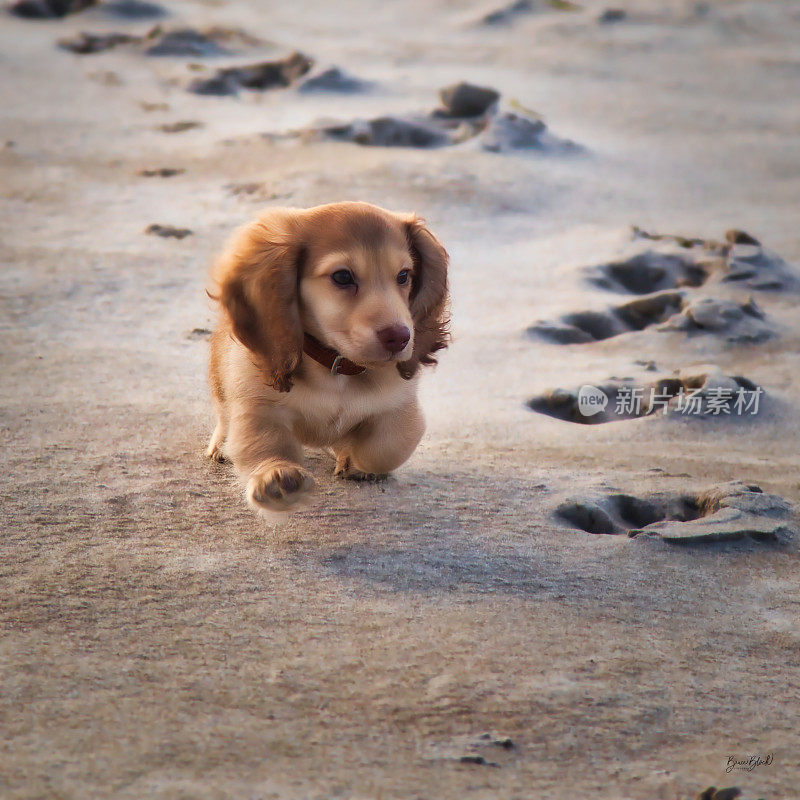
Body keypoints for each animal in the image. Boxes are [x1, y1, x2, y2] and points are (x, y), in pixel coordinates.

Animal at [206, 200, 450, 512]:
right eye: (342, 277)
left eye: (404, 276)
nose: (400, 337)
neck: (336, 368)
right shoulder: (258, 405)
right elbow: (262, 444)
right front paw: (276, 478)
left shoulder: (399, 406)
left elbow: (386, 447)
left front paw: (353, 460)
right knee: (224, 416)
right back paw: (220, 446)